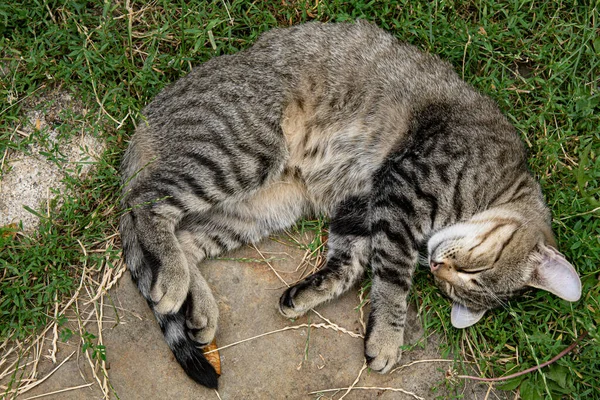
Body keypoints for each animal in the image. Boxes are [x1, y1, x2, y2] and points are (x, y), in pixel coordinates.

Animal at [118, 20, 580, 390]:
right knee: (146, 201)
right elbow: (393, 277)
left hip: (261, 207)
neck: (504, 180)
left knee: (186, 238)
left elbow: (347, 265)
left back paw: (198, 308)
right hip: (241, 152)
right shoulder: (404, 190)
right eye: (475, 270)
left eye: (456, 288)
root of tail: (148, 119)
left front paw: (307, 294)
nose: (437, 266)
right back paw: (172, 281)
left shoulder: (362, 207)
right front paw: (388, 338)